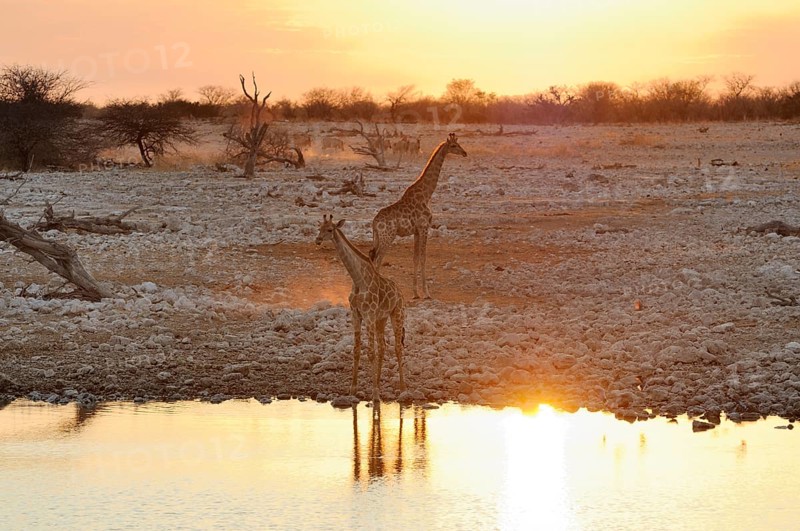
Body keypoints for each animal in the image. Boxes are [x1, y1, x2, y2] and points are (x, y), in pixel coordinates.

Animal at [315, 214, 407, 403]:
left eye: (330, 229)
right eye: (319, 227)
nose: (318, 240)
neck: (358, 279)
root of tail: (400, 292)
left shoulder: (369, 314)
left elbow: (370, 352)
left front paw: (375, 394)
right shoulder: (356, 314)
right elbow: (357, 350)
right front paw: (353, 389)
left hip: (397, 314)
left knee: (397, 347)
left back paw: (402, 388)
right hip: (381, 319)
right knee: (383, 347)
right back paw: (378, 382)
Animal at [369, 132, 467, 299]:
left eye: (459, 144)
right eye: (454, 145)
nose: (465, 153)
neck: (426, 194)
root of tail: (374, 223)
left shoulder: (415, 231)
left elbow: (415, 258)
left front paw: (416, 292)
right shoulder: (424, 227)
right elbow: (423, 258)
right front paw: (427, 293)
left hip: (379, 238)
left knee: (373, 259)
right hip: (387, 237)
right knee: (377, 261)